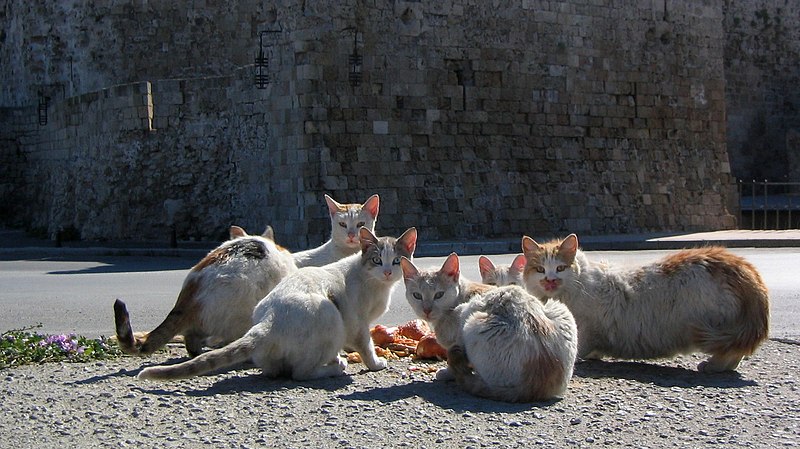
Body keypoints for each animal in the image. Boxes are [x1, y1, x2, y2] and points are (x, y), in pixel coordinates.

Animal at [136, 226, 418, 380]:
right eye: (377, 260)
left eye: (396, 261)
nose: (388, 272)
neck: (378, 285)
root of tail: (266, 322)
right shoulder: (358, 324)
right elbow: (366, 346)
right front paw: (375, 363)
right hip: (329, 312)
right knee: (300, 373)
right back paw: (334, 367)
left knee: (277, 370)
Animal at [404, 252, 580, 402]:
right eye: (417, 295)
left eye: (439, 295)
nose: (426, 310)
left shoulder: (458, 332)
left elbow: (453, 359)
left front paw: (447, 372)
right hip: (559, 309)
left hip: (471, 317)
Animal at [520, 233, 772, 372]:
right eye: (540, 269)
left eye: (560, 268)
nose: (550, 280)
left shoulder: (586, 328)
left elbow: (579, 346)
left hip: (717, 326)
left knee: (732, 351)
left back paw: (712, 366)